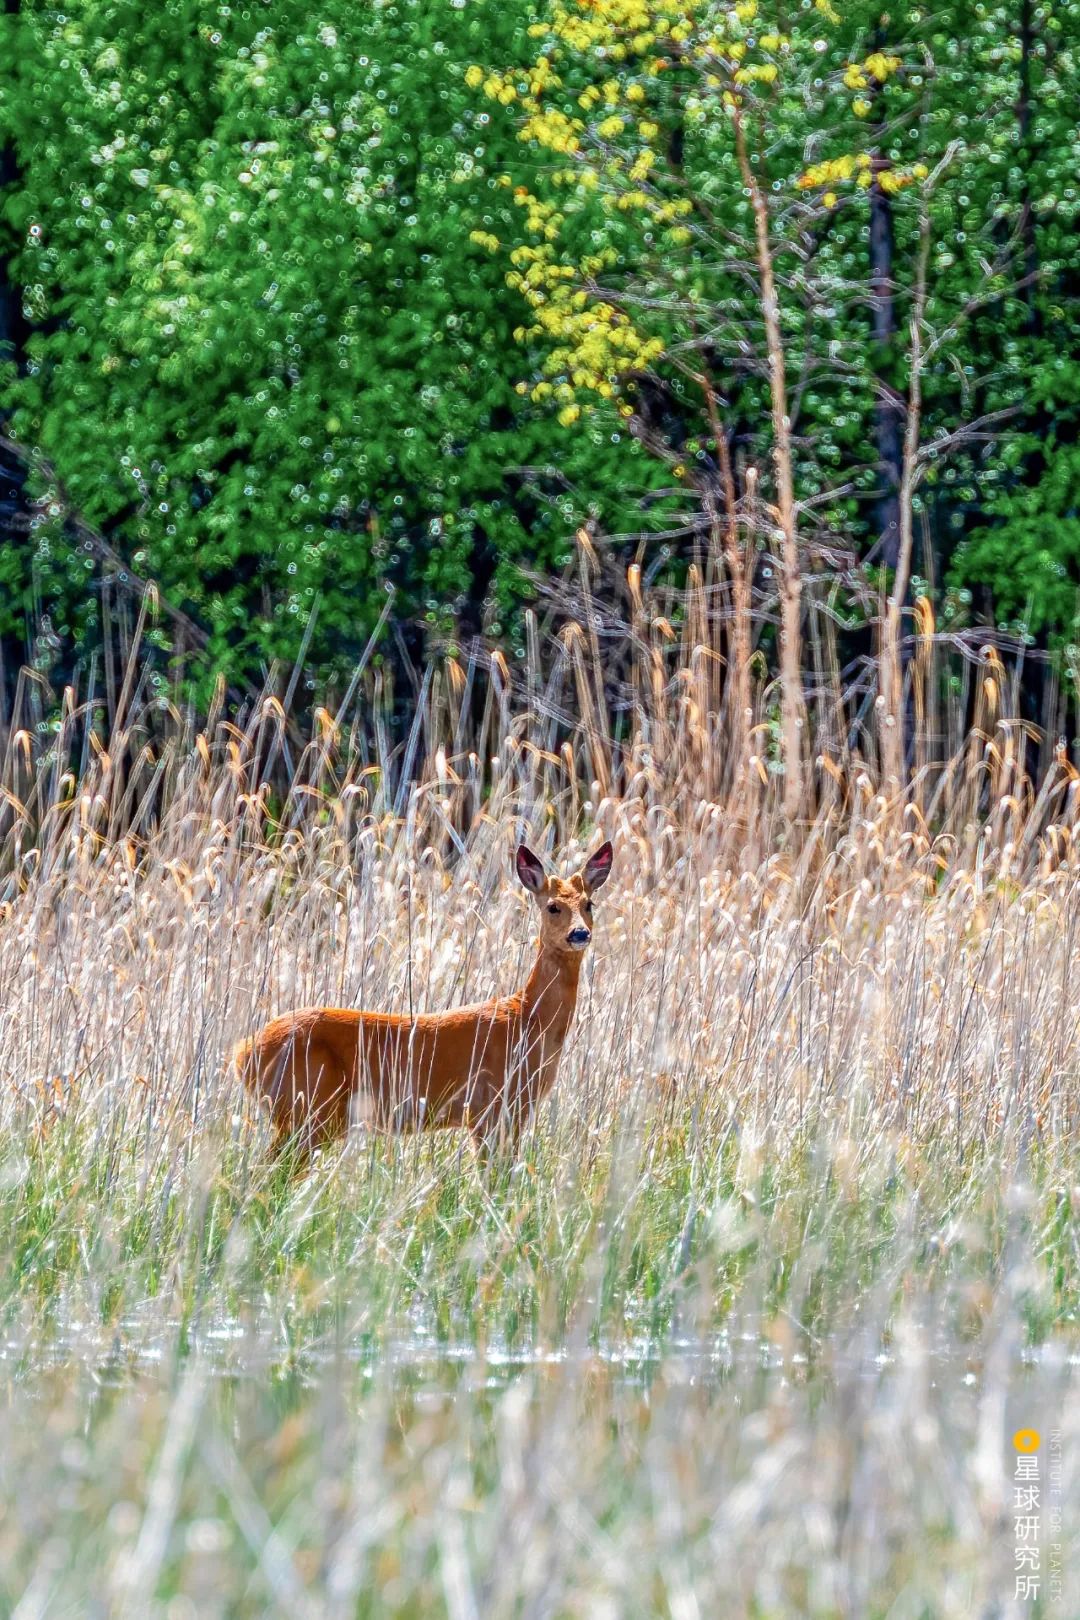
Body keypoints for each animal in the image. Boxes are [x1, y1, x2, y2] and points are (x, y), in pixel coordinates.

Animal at [233, 842, 612, 1159]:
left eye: (589, 904)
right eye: (553, 907)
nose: (580, 933)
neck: (528, 1019)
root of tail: (243, 1053)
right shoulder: (489, 1107)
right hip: (309, 1109)